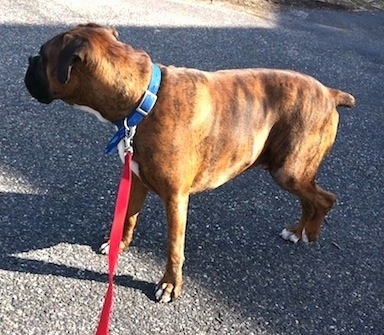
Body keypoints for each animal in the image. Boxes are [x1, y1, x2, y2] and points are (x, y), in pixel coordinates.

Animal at [24, 23, 354, 302]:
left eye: (43, 55)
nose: (28, 59)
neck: (144, 100)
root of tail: (329, 93)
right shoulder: (138, 181)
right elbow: (129, 218)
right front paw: (118, 246)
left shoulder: (176, 199)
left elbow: (174, 247)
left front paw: (169, 285)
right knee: (312, 200)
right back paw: (299, 231)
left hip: (289, 171)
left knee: (324, 198)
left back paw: (307, 233)